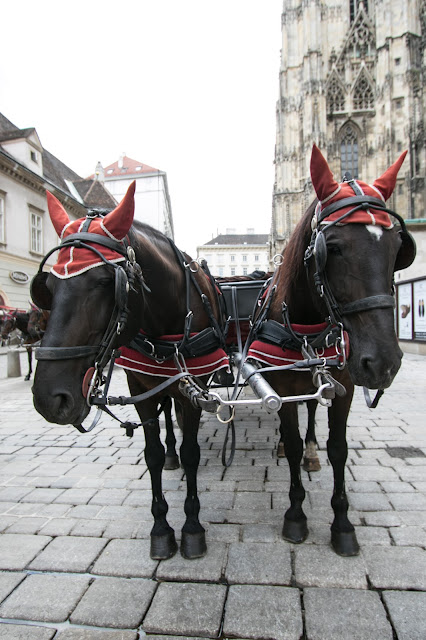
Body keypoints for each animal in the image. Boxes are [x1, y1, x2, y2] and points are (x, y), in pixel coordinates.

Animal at [31, 181, 225, 560]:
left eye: (107, 282)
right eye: (47, 288)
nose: (49, 398)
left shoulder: (193, 387)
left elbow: (193, 452)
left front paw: (192, 527)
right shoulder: (140, 388)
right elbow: (152, 454)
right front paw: (161, 528)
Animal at [251, 145, 414, 556]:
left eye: (398, 248)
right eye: (334, 248)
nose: (383, 363)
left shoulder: (346, 386)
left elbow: (338, 447)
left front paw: (342, 523)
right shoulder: (282, 387)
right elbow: (292, 441)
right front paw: (295, 514)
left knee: (312, 414)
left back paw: (312, 454)